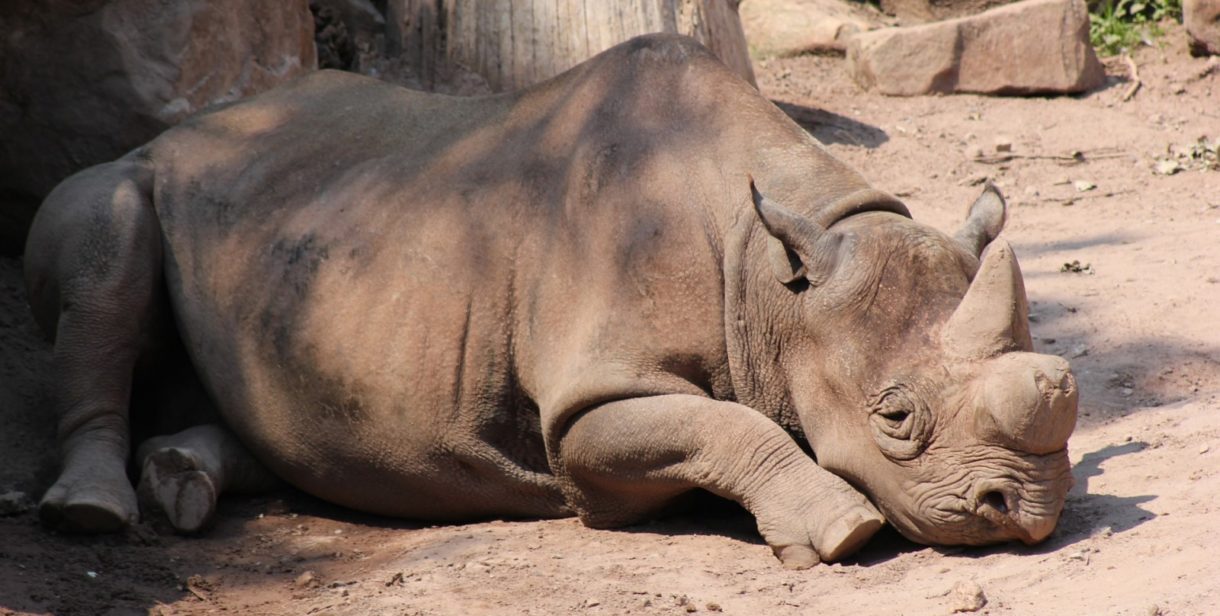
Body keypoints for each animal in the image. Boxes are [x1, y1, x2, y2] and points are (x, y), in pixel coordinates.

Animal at [23, 34, 1078, 565]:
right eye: (894, 418)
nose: (1024, 514)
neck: (779, 281)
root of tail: (185, 128)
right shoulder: (584, 405)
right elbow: (731, 425)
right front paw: (842, 531)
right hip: (128, 176)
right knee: (104, 253)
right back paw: (94, 514)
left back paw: (179, 481)